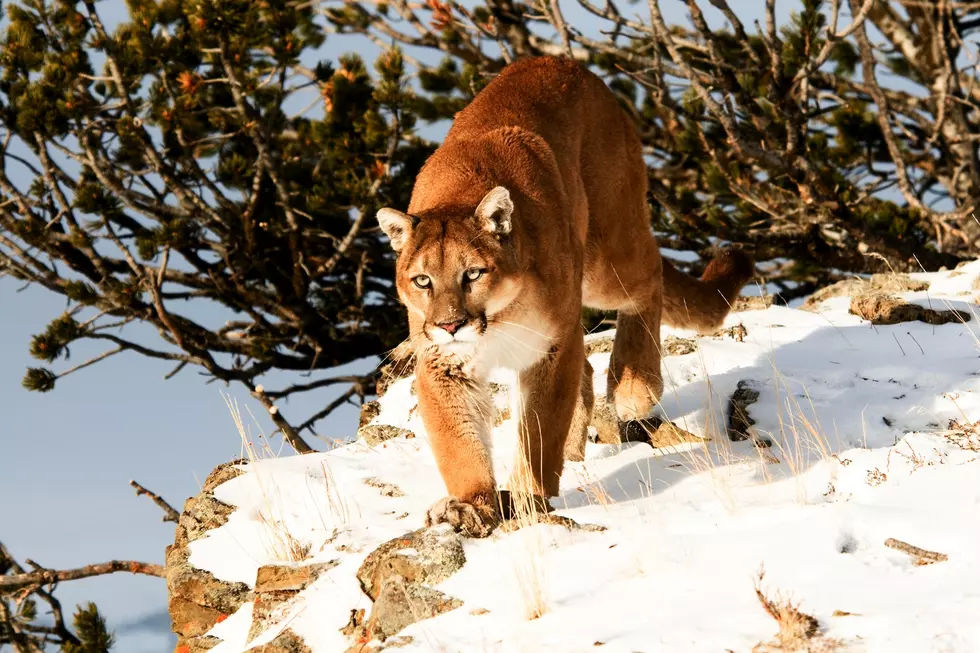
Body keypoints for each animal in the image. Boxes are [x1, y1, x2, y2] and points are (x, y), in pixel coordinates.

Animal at [376, 56, 754, 537]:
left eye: (473, 273)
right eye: (423, 280)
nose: (450, 324)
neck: (498, 319)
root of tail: (562, 61)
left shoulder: (551, 348)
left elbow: (539, 430)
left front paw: (530, 496)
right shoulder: (444, 363)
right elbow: (457, 441)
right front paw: (470, 506)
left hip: (608, 255)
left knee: (649, 276)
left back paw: (634, 385)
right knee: (588, 365)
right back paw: (576, 452)